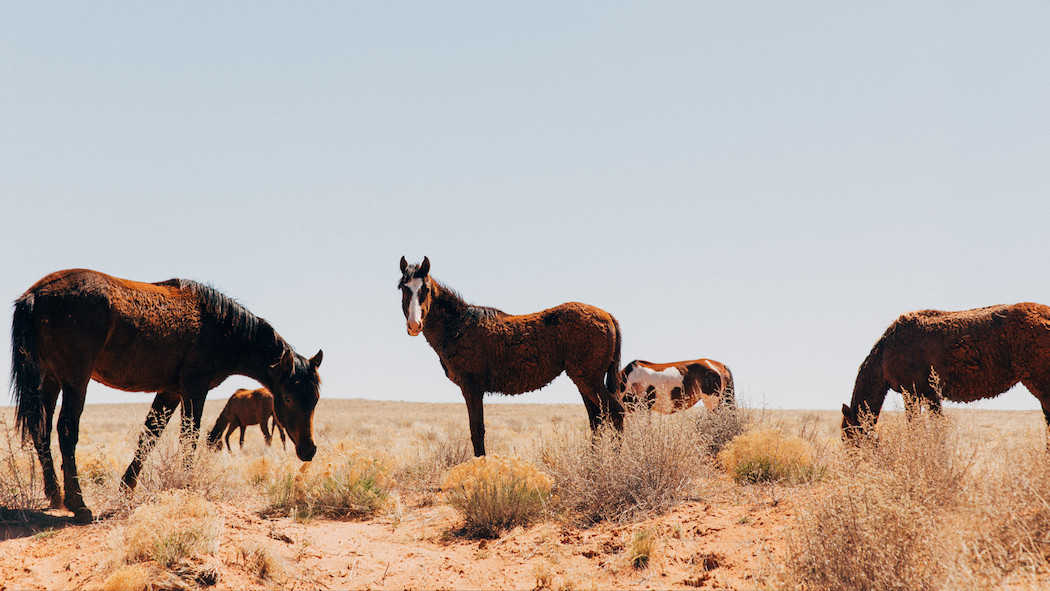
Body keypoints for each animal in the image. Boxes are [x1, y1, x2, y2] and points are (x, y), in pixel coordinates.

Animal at [10, 268, 321, 522]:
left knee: (41, 429)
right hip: (75, 380)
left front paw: (127, 488)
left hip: (51, 379)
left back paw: (55, 495)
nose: (309, 450)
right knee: (66, 430)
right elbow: (189, 440)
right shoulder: (194, 391)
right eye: (288, 397)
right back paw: (78, 504)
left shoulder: (169, 393)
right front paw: (186, 486)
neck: (220, 327)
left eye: (315, 399)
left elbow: (148, 438)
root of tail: (34, 295)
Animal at [394, 255, 621, 457]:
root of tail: (607, 316)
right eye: (404, 289)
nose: (414, 325)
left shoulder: (472, 388)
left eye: (426, 289)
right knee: (597, 420)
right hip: (584, 382)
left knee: (616, 413)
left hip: (589, 380)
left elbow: (477, 431)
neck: (458, 325)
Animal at [839, 302, 1050, 440]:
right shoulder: (929, 394)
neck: (885, 353)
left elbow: (917, 429)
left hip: (1040, 383)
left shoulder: (912, 393)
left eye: (847, 437)